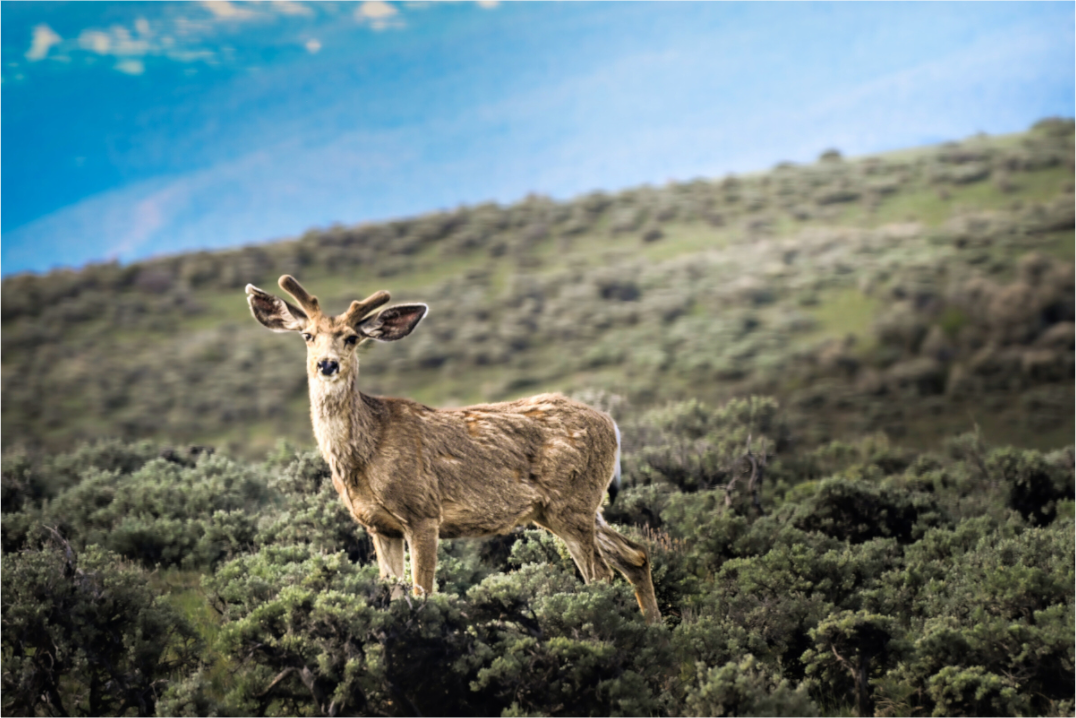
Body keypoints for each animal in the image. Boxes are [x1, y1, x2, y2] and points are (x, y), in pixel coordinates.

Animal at [246, 275, 660, 623]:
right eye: (308, 335)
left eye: (350, 337)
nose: (327, 364)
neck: (364, 454)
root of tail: (610, 423)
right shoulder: (379, 526)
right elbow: (394, 595)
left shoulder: (422, 511)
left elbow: (423, 594)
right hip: (569, 507)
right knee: (635, 555)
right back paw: (654, 629)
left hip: (570, 501)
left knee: (600, 575)